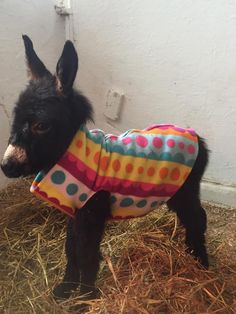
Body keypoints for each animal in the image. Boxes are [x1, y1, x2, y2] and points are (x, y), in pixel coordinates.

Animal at [0, 35, 209, 300]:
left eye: (41, 125)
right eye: (15, 119)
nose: (6, 166)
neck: (75, 153)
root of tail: (196, 137)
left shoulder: (92, 211)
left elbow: (87, 254)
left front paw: (85, 299)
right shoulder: (75, 210)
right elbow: (71, 249)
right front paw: (66, 288)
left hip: (185, 191)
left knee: (197, 219)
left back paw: (201, 264)